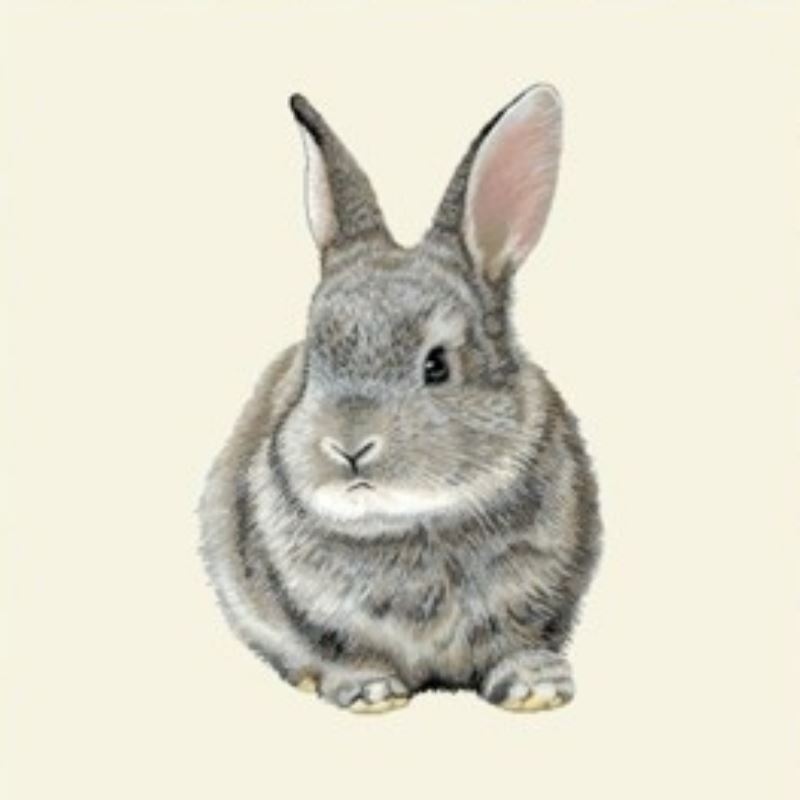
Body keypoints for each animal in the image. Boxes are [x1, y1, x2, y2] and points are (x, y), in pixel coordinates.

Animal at [199, 84, 601, 714]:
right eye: (314, 360)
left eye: (437, 366)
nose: (349, 447)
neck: (413, 522)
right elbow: (335, 646)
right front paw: (368, 691)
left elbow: (521, 639)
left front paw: (536, 688)